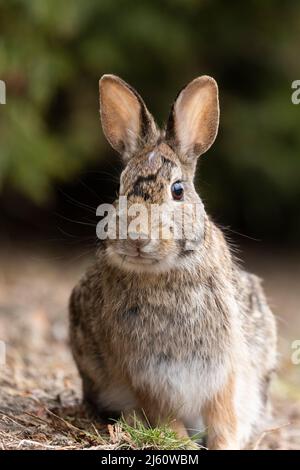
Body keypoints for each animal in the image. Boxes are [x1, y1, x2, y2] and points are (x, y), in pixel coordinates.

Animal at [69, 75, 276, 450]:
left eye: (178, 190)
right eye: (119, 190)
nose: (136, 238)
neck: (162, 273)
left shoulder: (223, 371)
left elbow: (223, 417)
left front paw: (223, 445)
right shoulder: (146, 377)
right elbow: (165, 417)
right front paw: (179, 443)